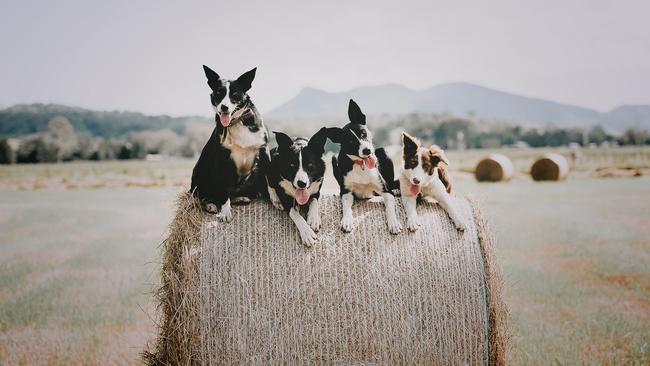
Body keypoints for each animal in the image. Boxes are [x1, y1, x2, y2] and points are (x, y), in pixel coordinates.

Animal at [189, 65, 268, 220]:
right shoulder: (223, 159)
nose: (224, 107)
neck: (238, 122)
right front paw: (225, 212)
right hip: (199, 172)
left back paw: (240, 198)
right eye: (219, 93)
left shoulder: (264, 150)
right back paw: (211, 204)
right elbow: (224, 191)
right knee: (204, 195)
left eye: (235, 94)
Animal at [326, 98, 402, 233]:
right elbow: (346, 207)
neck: (361, 164)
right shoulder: (346, 192)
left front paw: (393, 222)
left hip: (384, 152)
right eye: (350, 141)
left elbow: (390, 207)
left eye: (363, 133)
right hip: (335, 162)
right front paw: (347, 221)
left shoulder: (385, 190)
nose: (367, 150)